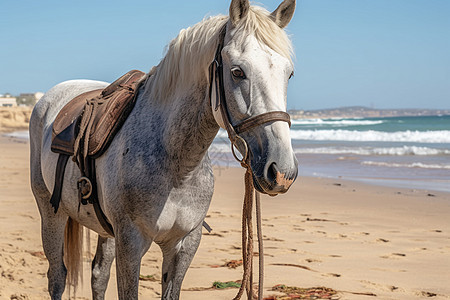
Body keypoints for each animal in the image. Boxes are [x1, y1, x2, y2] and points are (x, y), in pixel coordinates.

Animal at [27, 1, 296, 298]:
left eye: (289, 73)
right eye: (238, 72)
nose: (281, 171)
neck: (177, 166)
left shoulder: (183, 244)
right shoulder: (131, 243)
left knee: (98, 274)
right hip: (51, 212)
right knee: (57, 276)